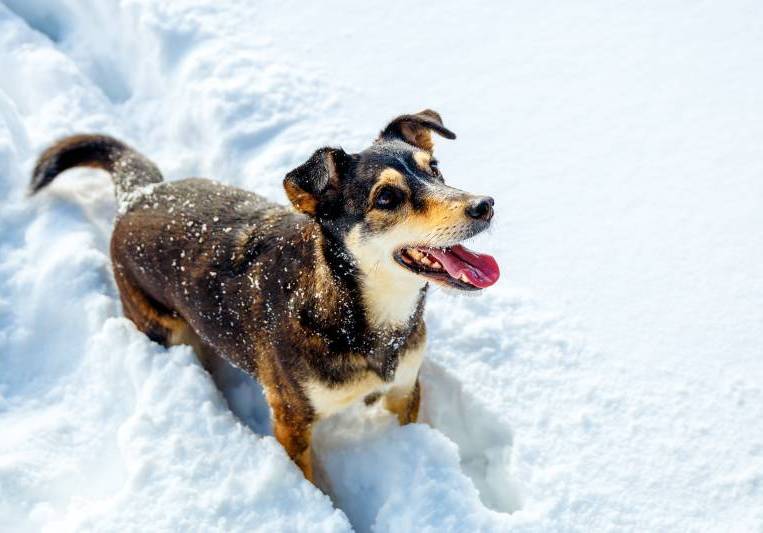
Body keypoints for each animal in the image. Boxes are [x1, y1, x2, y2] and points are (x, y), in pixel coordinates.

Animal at [31, 110, 502, 484]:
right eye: (387, 197)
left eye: (435, 168)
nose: (484, 204)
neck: (355, 312)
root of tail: (139, 196)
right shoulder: (292, 421)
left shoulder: (404, 389)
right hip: (160, 325)